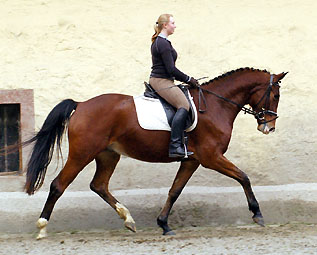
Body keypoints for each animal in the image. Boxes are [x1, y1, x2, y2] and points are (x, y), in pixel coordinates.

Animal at [23, 67, 286, 239]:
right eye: (275, 95)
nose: (269, 127)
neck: (215, 105)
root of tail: (82, 104)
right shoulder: (211, 157)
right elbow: (244, 177)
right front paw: (257, 214)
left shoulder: (192, 161)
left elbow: (174, 191)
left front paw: (164, 225)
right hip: (82, 154)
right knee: (58, 185)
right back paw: (42, 227)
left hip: (108, 155)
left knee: (99, 185)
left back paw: (128, 219)